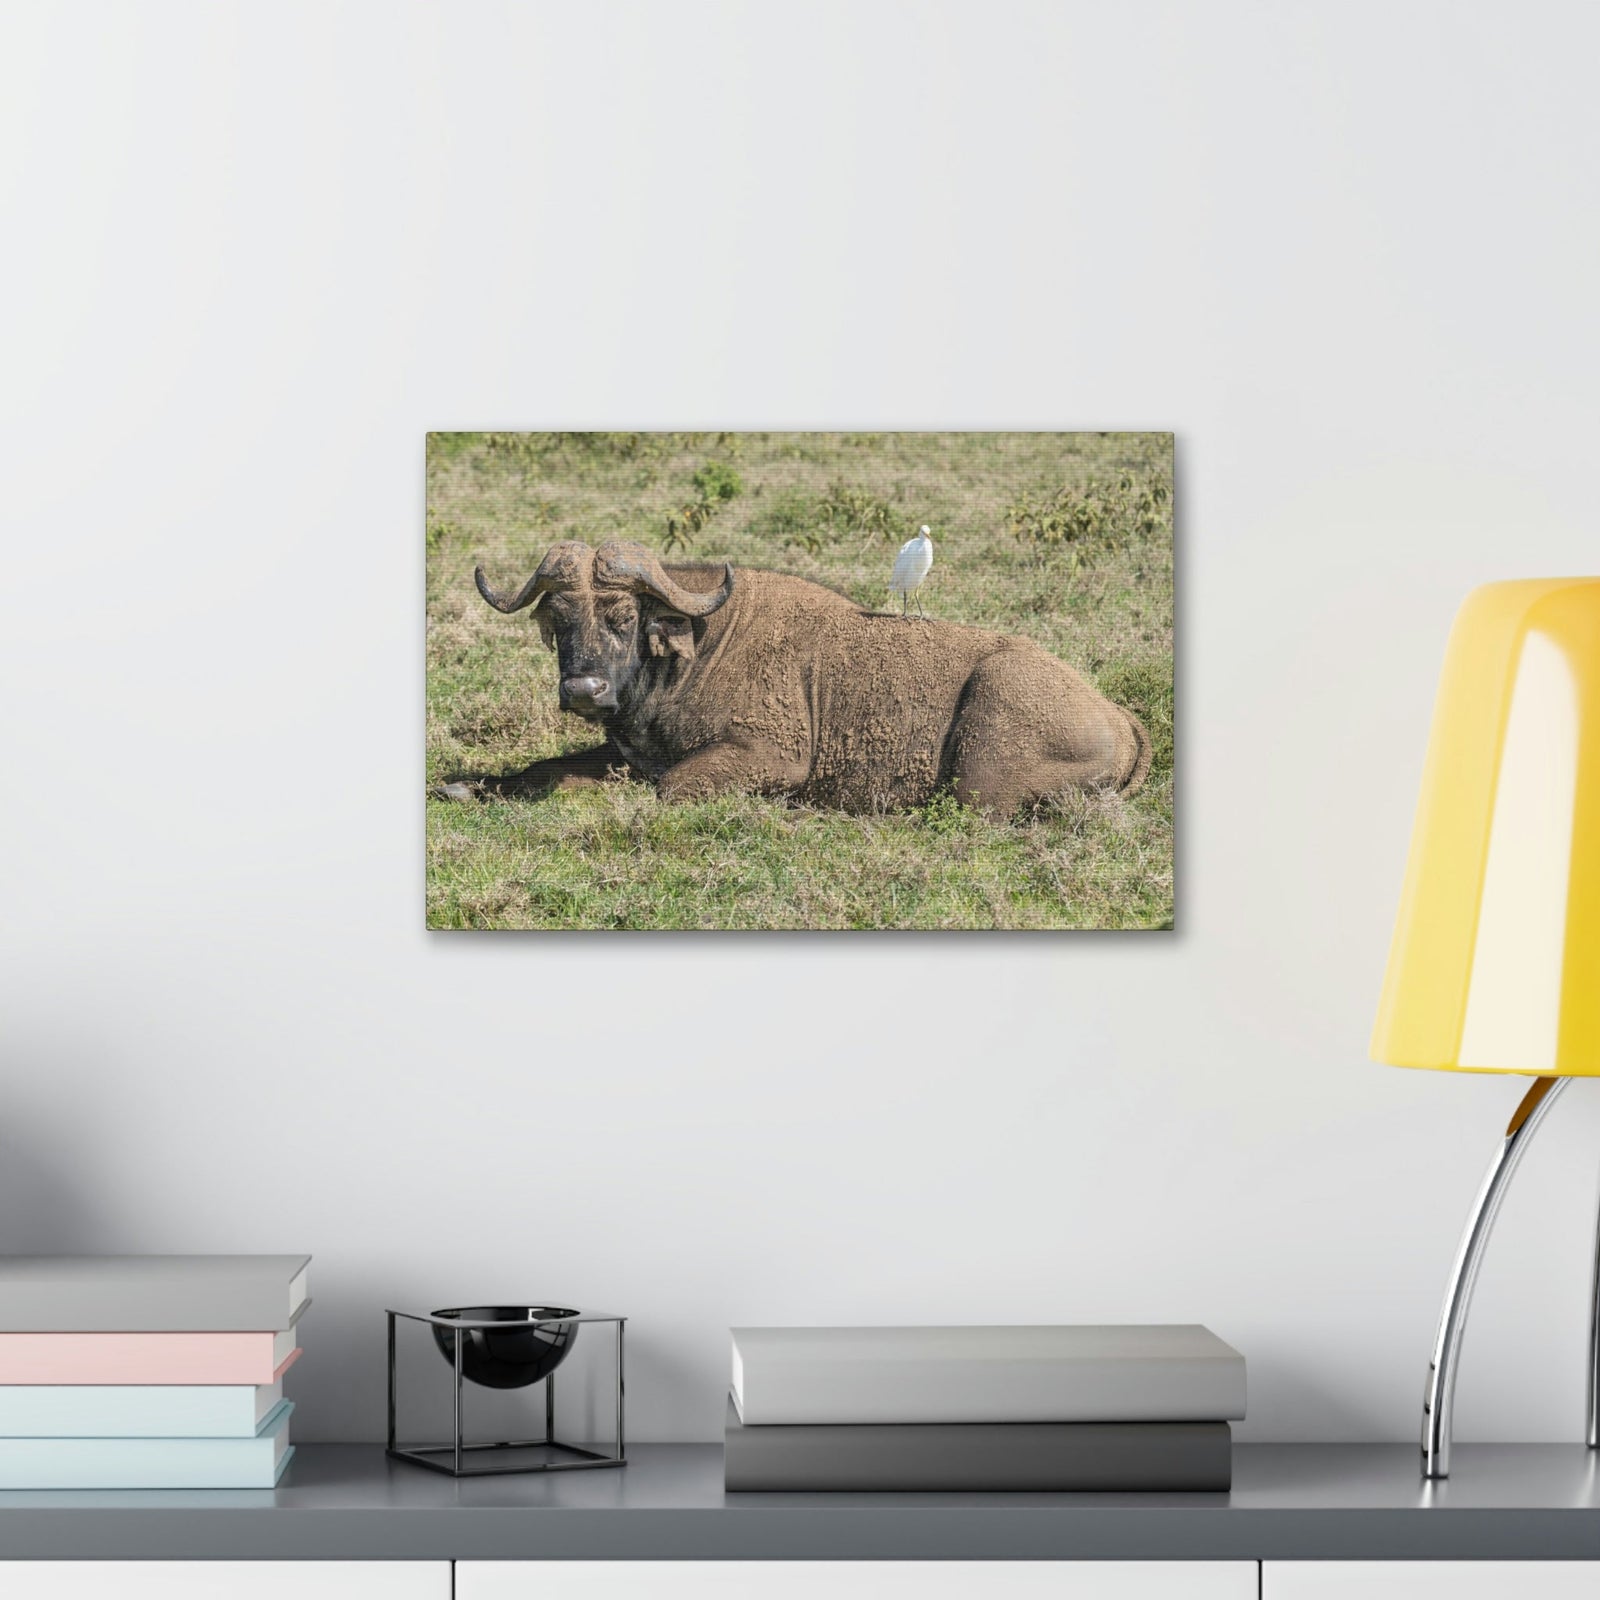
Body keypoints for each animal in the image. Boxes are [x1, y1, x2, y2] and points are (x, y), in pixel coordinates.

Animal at [438, 539, 1150, 816]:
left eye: (621, 616)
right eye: (559, 618)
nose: (583, 691)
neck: (697, 648)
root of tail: (1120, 717)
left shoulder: (768, 758)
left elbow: (668, 788)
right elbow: (543, 768)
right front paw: (466, 786)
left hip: (983, 756)